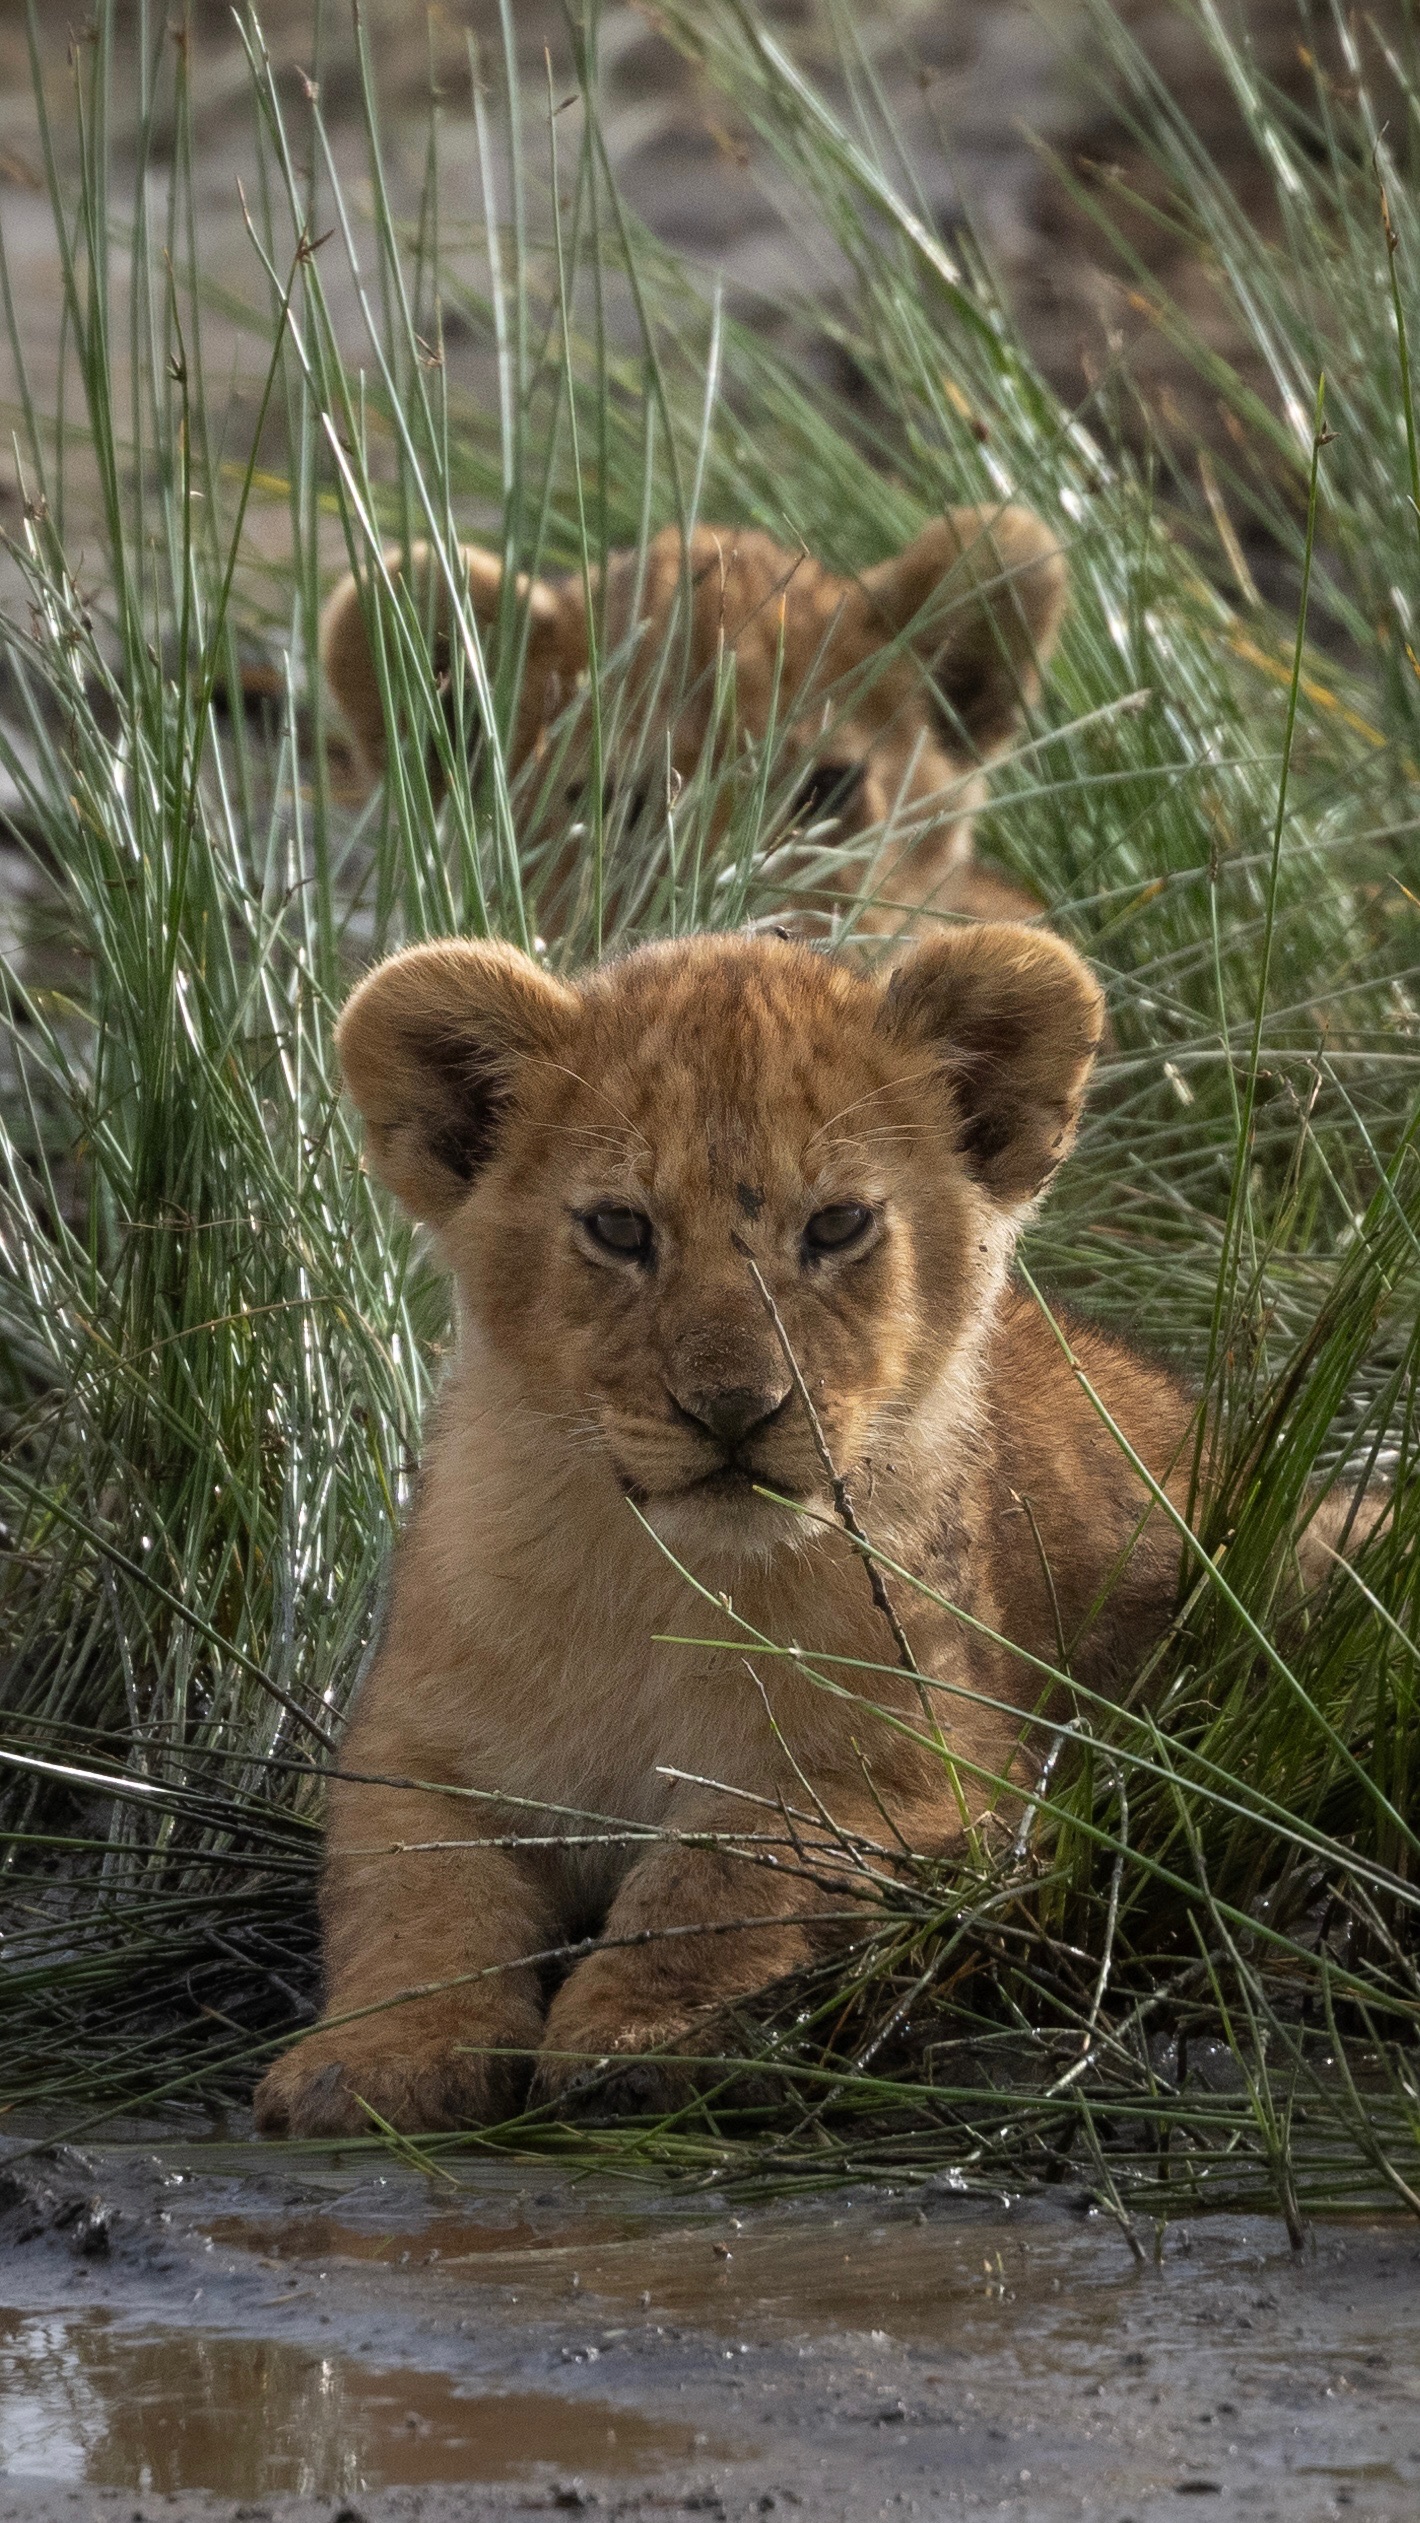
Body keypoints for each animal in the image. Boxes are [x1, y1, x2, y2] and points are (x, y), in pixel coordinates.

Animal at [253, 919, 1372, 2141]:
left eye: (836, 1225)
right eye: (619, 1228)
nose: (734, 1410)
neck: (665, 1585)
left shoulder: (936, 1775)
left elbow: (728, 1864)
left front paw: (640, 2039)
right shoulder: (411, 1757)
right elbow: (415, 1899)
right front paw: (377, 2061)